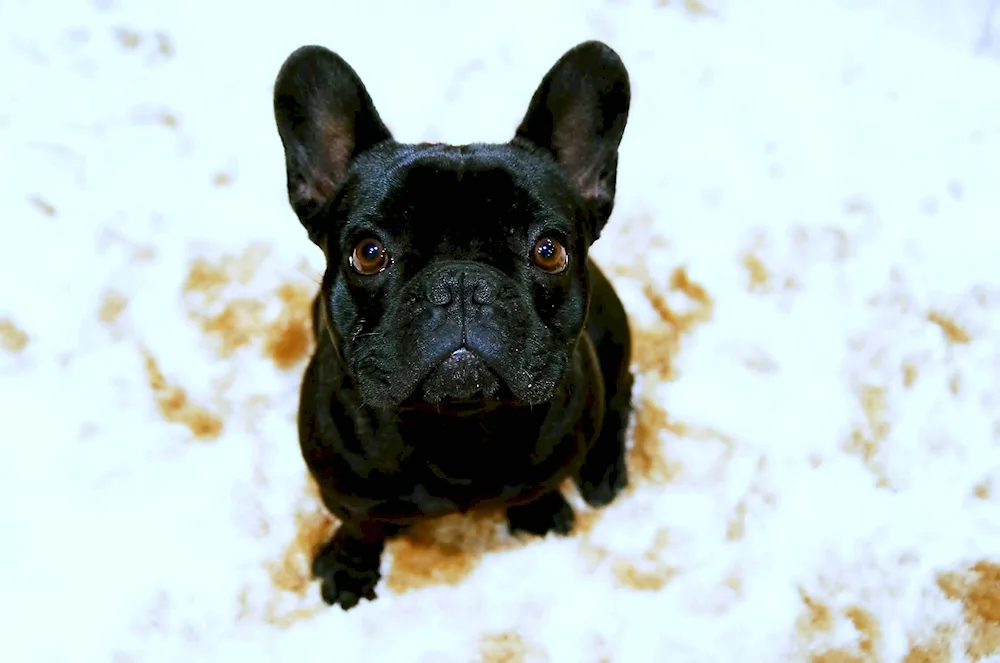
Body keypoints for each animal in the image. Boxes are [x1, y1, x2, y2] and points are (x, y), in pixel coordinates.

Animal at [272, 40, 632, 612]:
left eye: (549, 251)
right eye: (367, 253)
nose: (461, 283)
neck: (457, 430)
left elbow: (540, 486)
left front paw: (538, 514)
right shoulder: (346, 491)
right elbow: (362, 525)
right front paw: (351, 568)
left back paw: (602, 472)